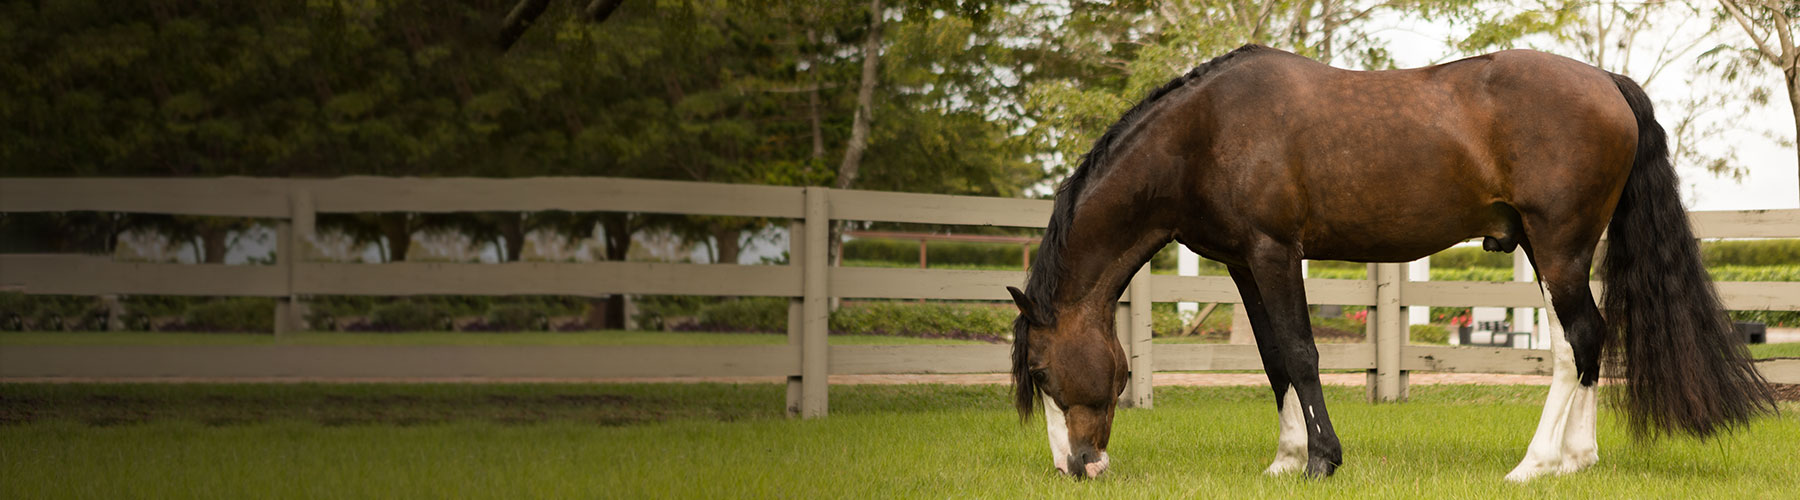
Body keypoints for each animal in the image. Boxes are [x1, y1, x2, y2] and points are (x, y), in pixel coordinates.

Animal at [1005, 44, 1774, 481]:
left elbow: (1302, 352)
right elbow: (1273, 360)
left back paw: (1534, 466)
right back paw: (1574, 461)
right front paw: (1284, 459)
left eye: (1040, 371)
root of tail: (1609, 83)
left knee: (1579, 340)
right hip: (1547, 251)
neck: (1207, 132)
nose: (1074, 467)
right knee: (1580, 344)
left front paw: (1321, 460)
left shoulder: (1276, 252)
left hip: (1558, 249)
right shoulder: (1243, 264)